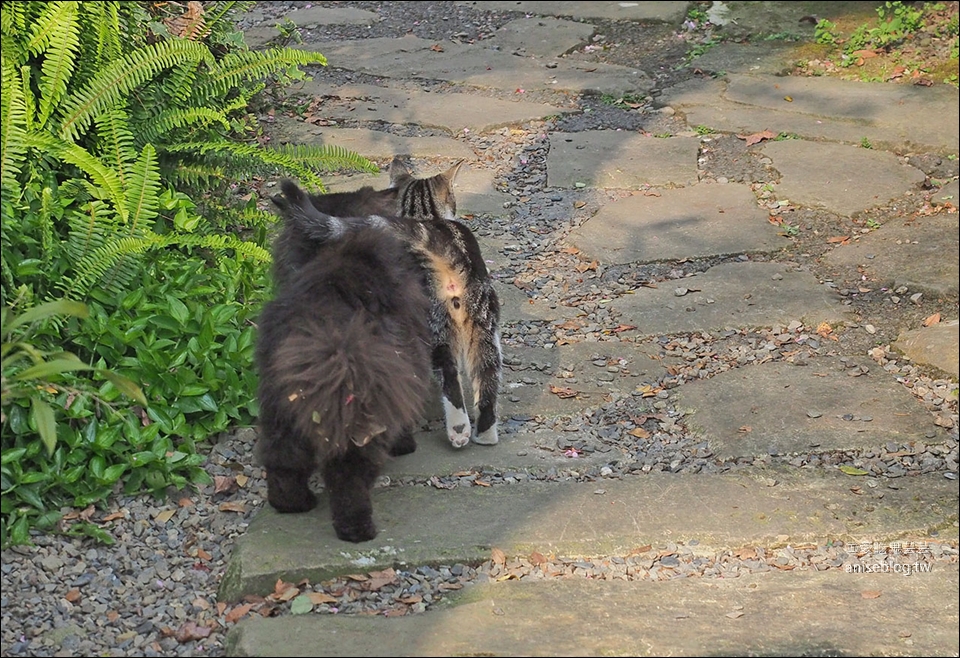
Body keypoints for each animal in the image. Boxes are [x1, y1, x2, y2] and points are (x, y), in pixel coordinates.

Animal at [256, 177, 434, 540]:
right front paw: (406, 443)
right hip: (359, 417)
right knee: (347, 476)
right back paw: (358, 529)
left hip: (280, 414)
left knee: (282, 464)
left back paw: (294, 505)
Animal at [272, 158, 502, 446]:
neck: (425, 217)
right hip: (485, 323)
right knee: (487, 374)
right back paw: (485, 434)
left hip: (435, 326)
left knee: (449, 375)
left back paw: (458, 430)